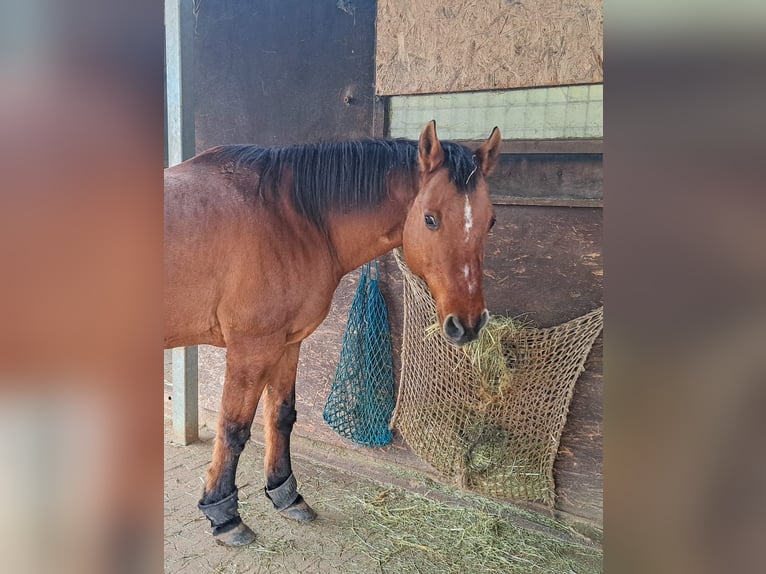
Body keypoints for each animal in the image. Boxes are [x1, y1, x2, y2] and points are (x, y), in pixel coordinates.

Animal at [164, 122, 500, 548]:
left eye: (491, 221)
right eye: (430, 219)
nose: (468, 323)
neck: (288, 218)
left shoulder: (288, 343)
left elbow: (281, 416)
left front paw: (285, 494)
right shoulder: (251, 348)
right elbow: (233, 428)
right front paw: (224, 514)